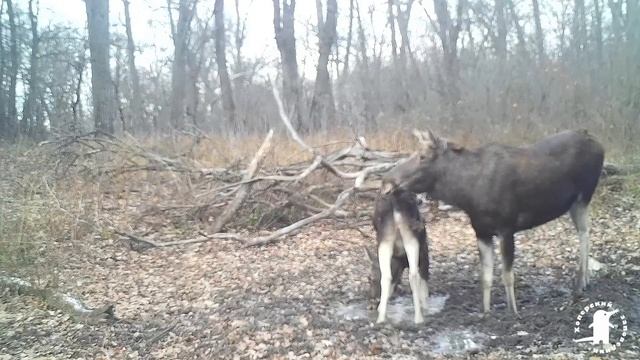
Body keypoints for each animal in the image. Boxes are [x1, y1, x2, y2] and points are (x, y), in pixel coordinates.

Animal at [382, 129, 604, 316]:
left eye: (423, 157)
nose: (386, 182)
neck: (466, 195)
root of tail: (597, 142)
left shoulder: (507, 227)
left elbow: (507, 275)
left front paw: (513, 312)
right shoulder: (482, 231)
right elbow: (486, 276)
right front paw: (486, 311)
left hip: (584, 195)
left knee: (585, 233)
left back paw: (580, 282)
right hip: (574, 203)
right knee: (584, 231)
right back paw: (584, 280)